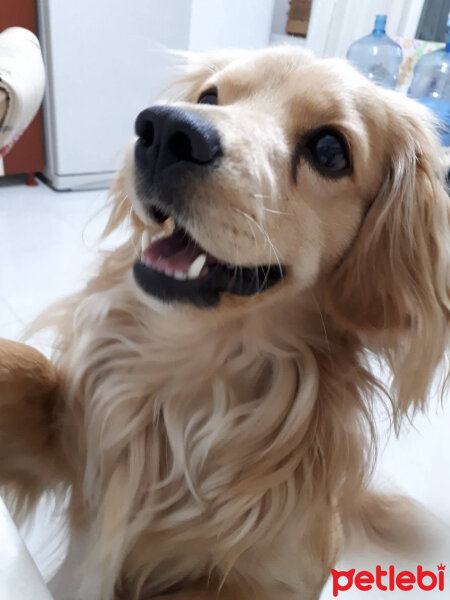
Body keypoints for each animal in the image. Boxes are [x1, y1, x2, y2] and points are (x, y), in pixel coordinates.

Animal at [0, 47, 450, 600]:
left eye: (329, 150)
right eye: (210, 97)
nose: (166, 130)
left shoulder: (261, 580)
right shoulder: (79, 443)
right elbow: (30, 368)